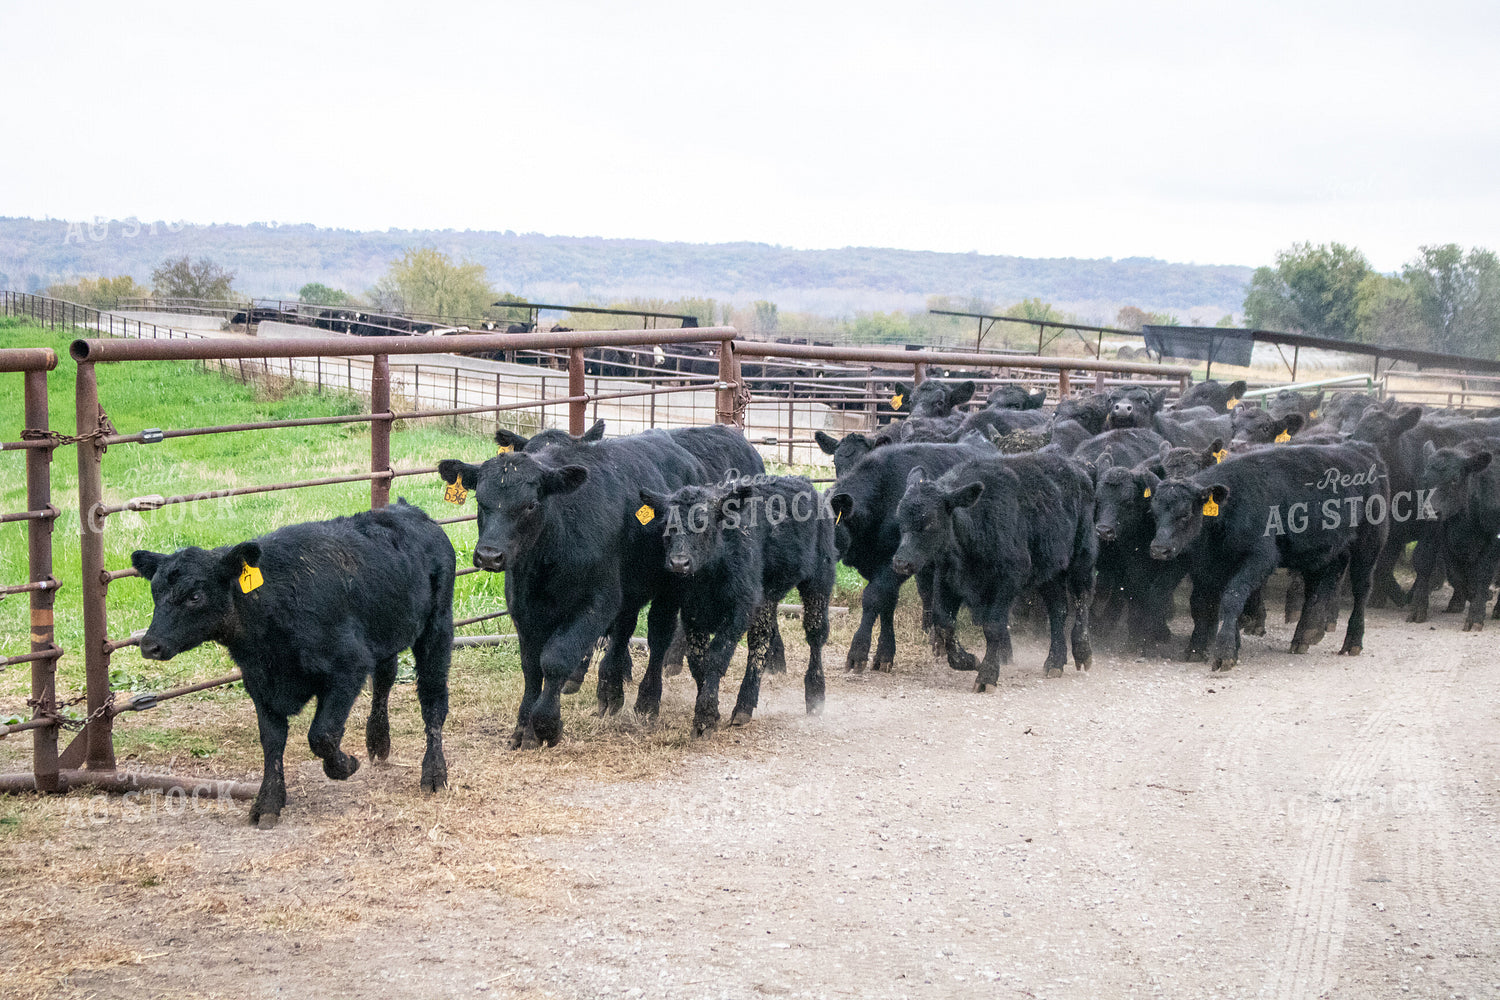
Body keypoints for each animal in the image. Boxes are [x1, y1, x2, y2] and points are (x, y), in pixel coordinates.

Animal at [130, 501, 455, 828]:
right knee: (385, 679)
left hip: (437, 628)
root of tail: (406, 509)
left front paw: (345, 765)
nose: (149, 645)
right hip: (386, 633)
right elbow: (272, 742)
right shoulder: (259, 682)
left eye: (195, 595)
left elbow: (322, 735)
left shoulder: (349, 666)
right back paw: (378, 741)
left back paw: (434, 773)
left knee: (433, 701)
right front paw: (268, 801)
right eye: (155, 592)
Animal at [637, 476, 836, 734]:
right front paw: (707, 706)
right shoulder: (692, 613)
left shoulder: (738, 609)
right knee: (762, 638)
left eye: (704, 526)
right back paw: (745, 706)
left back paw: (815, 694)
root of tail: (803, 482)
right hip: (766, 597)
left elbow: (717, 656)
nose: (679, 563)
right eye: (668, 528)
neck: (706, 579)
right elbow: (698, 661)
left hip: (819, 580)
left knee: (815, 634)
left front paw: (705, 716)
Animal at [891, 450, 1095, 691]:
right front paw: (968, 660)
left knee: (1082, 600)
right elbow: (943, 622)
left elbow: (993, 626)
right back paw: (1055, 661)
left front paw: (987, 675)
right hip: (1050, 571)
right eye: (900, 520)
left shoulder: (1008, 580)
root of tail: (1076, 467)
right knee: (1058, 610)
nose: (901, 562)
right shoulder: (948, 577)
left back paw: (1082, 651)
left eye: (930, 522)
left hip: (1082, 558)